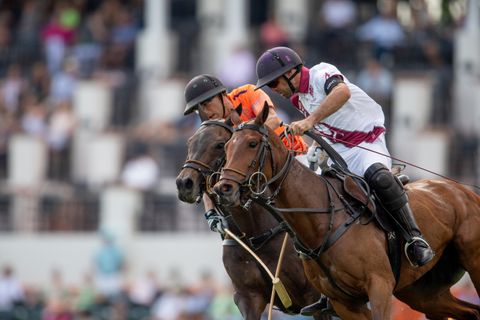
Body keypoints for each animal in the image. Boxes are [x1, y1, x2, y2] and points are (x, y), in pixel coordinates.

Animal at [176, 120, 334, 320]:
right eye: (190, 143)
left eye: (219, 145)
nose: (184, 183)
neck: (254, 233)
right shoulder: (248, 298)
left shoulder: (313, 296)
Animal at [214, 106, 480, 320]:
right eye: (226, 146)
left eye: (252, 143)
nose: (223, 188)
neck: (323, 222)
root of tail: (464, 190)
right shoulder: (344, 303)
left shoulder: (379, 285)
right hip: (423, 291)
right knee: (471, 311)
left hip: (472, 261)